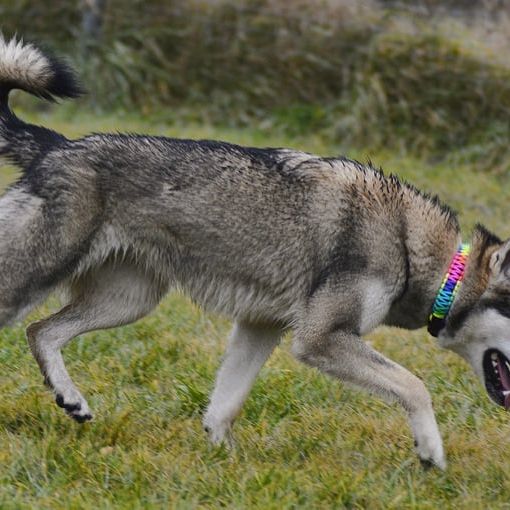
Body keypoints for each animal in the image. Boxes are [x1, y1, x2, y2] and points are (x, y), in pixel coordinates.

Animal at [0, 32, 510, 470]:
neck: (420, 253)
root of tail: (58, 145)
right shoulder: (320, 338)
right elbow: (415, 385)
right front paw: (431, 453)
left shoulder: (259, 327)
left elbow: (224, 406)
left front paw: (223, 460)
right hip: (42, 280)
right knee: (33, 327)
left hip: (128, 302)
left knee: (40, 332)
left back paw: (70, 399)